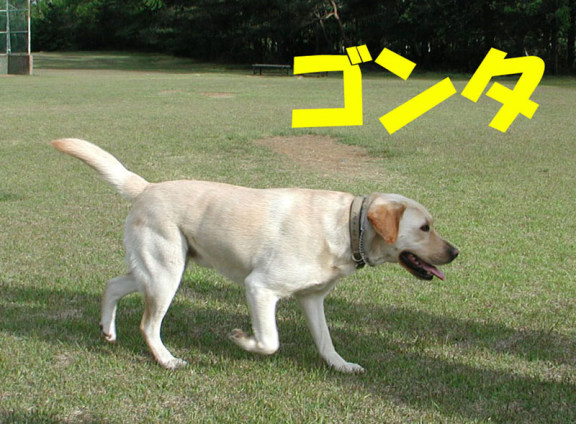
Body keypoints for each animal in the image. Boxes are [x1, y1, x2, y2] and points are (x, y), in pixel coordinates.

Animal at [52, 138, 458, 373]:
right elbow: (270, 342)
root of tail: (147, 187)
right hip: (167, 274)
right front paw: (241, 340)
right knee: (148, 325)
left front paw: (341, 366)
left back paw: (108, 329)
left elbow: (326, 341)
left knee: (112, 285)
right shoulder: (260, 288)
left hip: (155, 271)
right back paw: (167, 360)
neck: (347, 226)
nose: (455, 252)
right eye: (425, 227)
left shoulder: (312, 299)